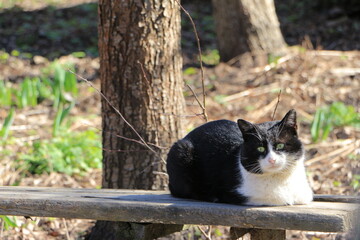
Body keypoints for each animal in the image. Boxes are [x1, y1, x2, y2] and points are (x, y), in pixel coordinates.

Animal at [166, 109, 312, 205]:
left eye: (280, 145)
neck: (280, 180)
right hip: (181, 150)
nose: (272, 159)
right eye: (260, 148)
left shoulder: (305, 195)